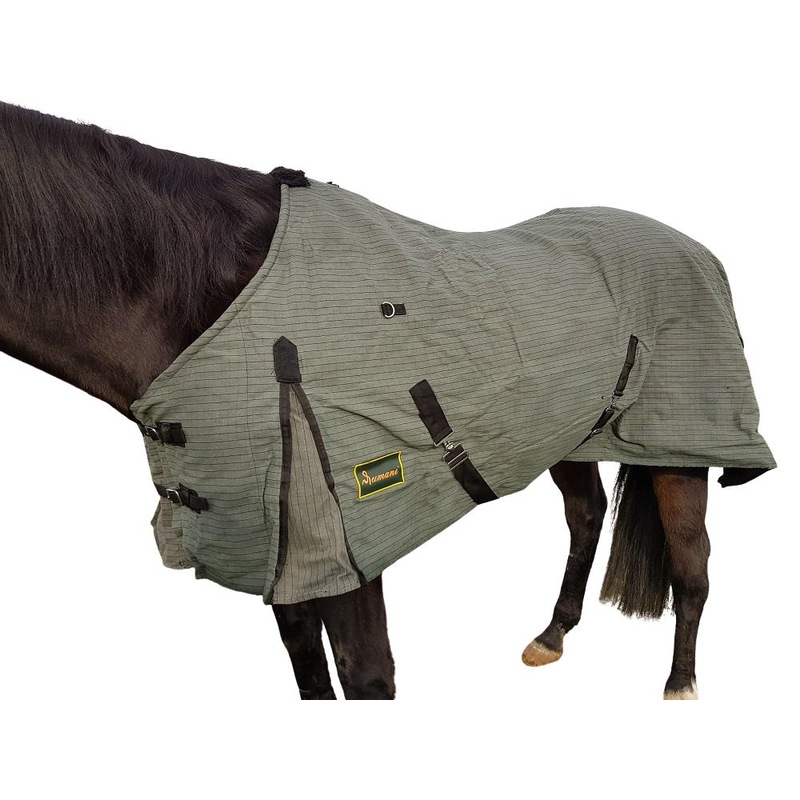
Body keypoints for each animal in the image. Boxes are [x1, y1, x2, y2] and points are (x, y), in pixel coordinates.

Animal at [0, 101, 774, 700]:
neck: (216, 297)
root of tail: (695, 246)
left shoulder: (347, 555)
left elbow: (367, 679)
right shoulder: (285, 562)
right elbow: (312, 679)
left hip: (682, 443)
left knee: (693, 567)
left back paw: (679, 685)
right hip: (569, 433)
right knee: (586, 521)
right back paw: (551, 636)